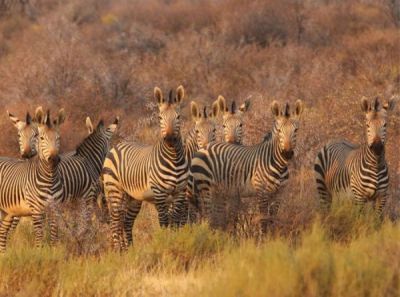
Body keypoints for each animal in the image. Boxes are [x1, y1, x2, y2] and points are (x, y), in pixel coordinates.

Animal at [0, 107, 64, 251]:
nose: (54, 159)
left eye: (58, 138)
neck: (49, 178)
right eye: (42, 138)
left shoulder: (55, 209)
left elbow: (54, 237)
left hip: (7, 212)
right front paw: (39, 253)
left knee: (2, 231)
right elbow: (39, 237)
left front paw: (54, 254)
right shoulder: (36, 211)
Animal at [104, 85, 188, 250]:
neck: (174, 159)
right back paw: (118, 251)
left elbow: (175, 222)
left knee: (126, 222)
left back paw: (129, 250)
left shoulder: (180, 192)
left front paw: (175, 242)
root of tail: (117, 146)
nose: (170, 139)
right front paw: (165, 244)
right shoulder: (160, 193)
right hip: (114, 190)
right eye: (160, 118)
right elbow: (164, 222)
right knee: (115, 223)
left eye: (179, 117)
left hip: (133, 197)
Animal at [187, 99, 304, 231]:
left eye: (296, 130)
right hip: (205, 187)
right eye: (279, 131)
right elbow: (264, 220)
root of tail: (203, 148)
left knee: (217, 215)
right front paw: (264, 236)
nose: (287, 153)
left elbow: (273, 219)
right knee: (208, 214)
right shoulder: (262, 193)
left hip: (218, 191)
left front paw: (273, 235)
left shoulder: (278, 194)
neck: (279, 165)